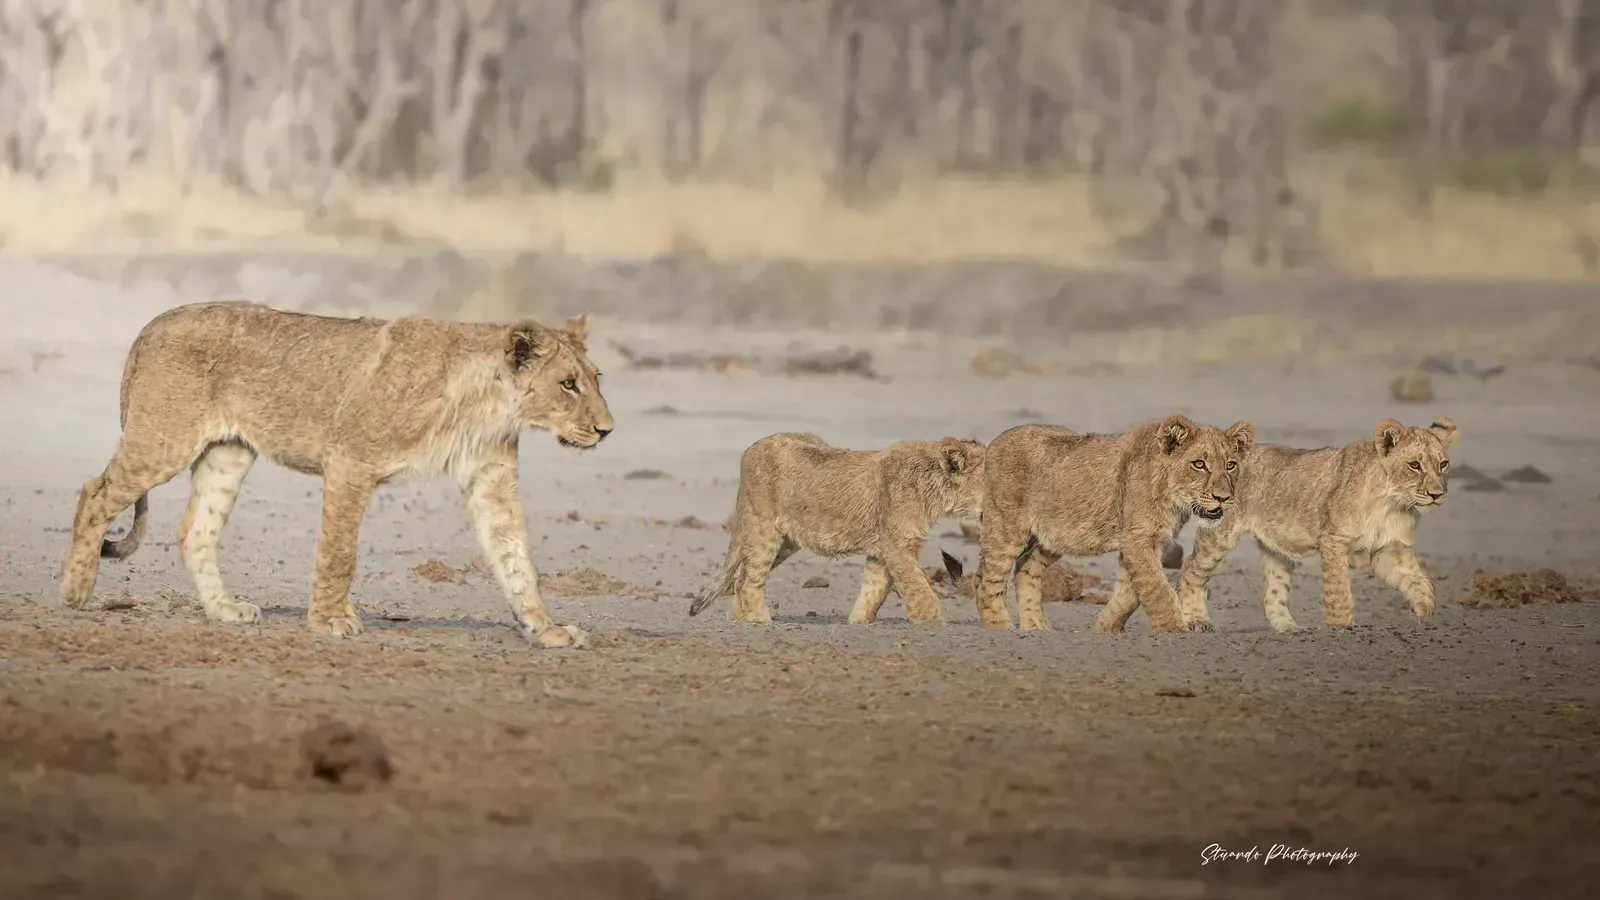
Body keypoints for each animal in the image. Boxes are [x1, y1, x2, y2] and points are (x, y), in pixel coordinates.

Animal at [59, 301, 611, 649]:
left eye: (596, 379)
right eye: (568, 384)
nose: (607, 430)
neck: (486, 404)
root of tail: (152, 324)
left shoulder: (491, 480)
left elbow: (516, 559)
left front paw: (546, 630)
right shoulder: (350, 460)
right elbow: (339, 552)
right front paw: (330, 621)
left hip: (228, 453)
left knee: (195, 532)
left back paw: (224, 610)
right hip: (164, 440)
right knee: (94, 492)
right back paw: (76, 591)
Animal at [687, 433, 985, 625]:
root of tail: (750, 449)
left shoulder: (883, 548)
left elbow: (874, 590)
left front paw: (859, 621)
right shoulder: (896, 546)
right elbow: (919, 589)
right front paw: (932, 622)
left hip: (786, 541)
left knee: (741, 577)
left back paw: (740, 617)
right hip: (764, 528)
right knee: (750, 579)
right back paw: (759, 621)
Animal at [974, 414, 1255, 632]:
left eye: (1230, 465)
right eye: (1199, 464)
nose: (1223, 497)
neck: (1173, 497)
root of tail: (995, 443)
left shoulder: (1144, 541)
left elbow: (1132, 592)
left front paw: (1105, 628)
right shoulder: (1137, 538)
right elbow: (1157, 588)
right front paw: (1174, 629)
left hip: (1053, 536)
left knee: (1026, 566)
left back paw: (1035, 625)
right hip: (1006, 526)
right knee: (986, 579)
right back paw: (1000, 627)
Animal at [1098, 418, 1460, 633]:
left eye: (1443, 464)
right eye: (1415, 465)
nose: (1437, 494)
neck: (1392, 501)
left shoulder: (1388, 549)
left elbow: (1419, 582)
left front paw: (1423, 614)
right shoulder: (1334, 540)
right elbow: (1339, 592)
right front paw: (1340, 628)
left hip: (1276, 549)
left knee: (1273, 593)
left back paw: (1289, 629)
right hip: (1220, 532)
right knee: (1191, 572)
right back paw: (1198, 621)